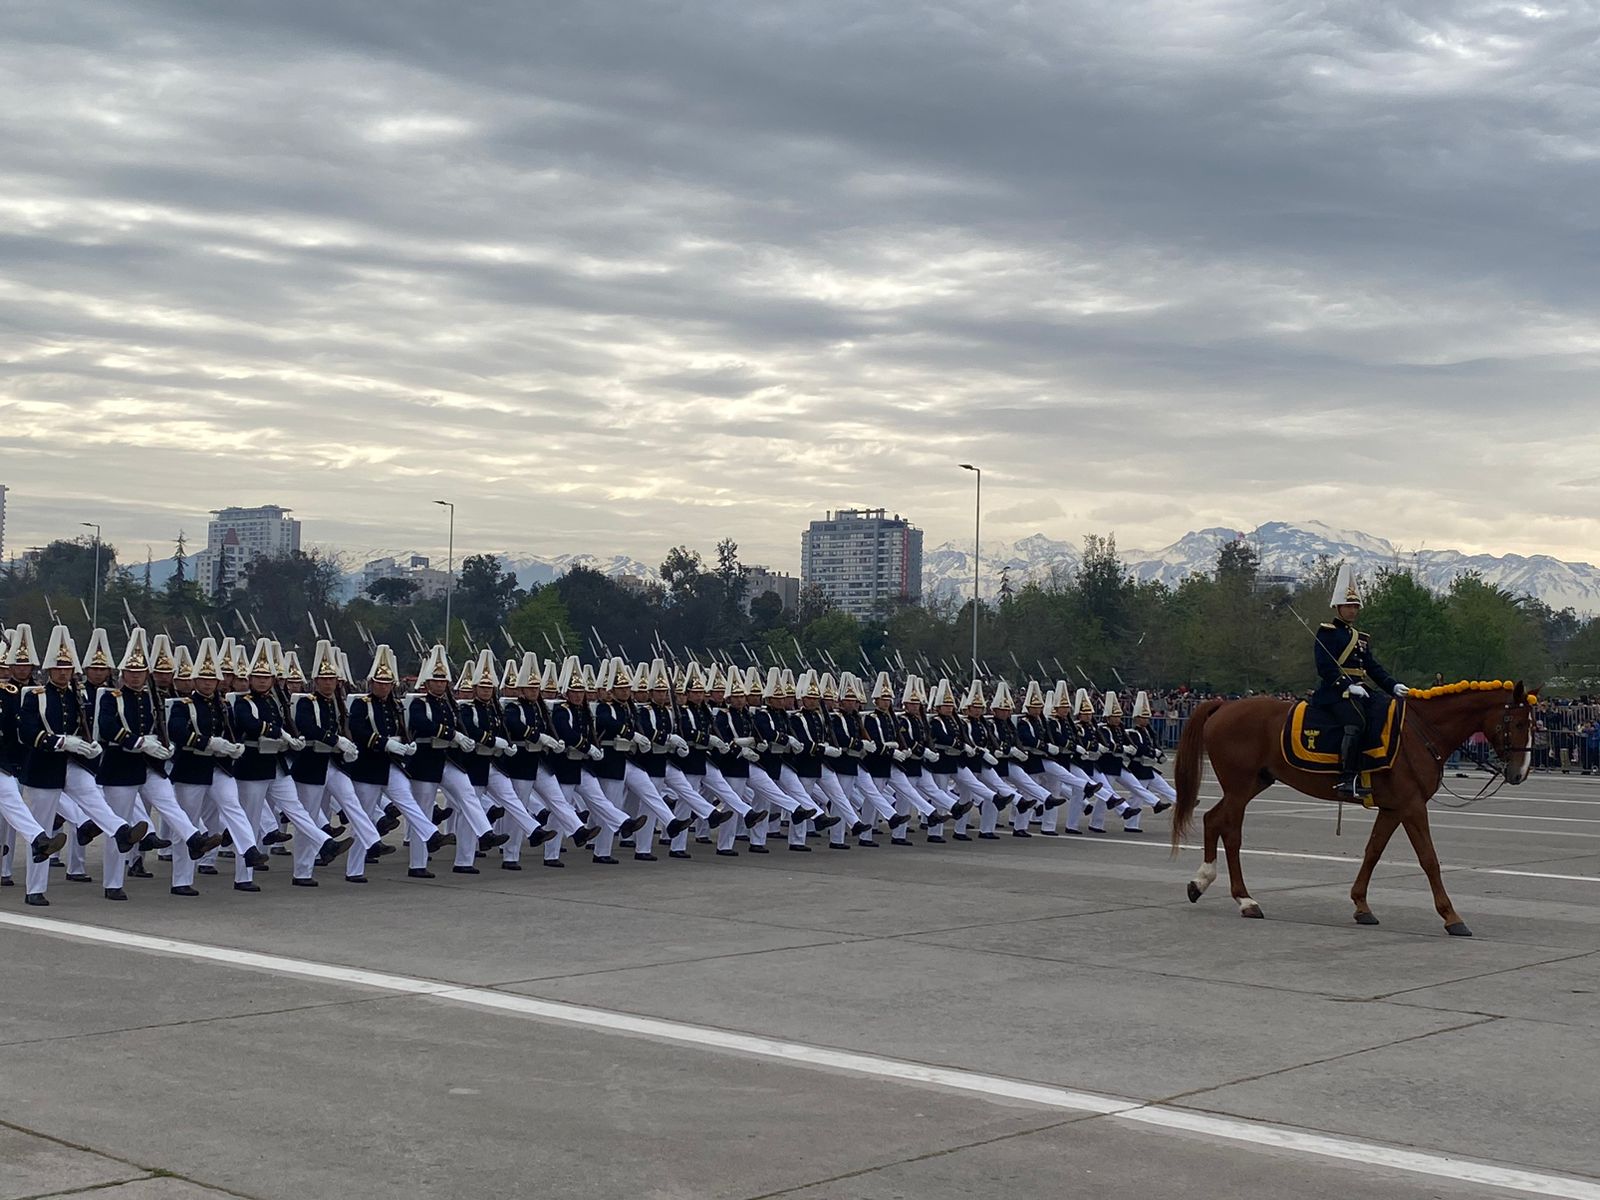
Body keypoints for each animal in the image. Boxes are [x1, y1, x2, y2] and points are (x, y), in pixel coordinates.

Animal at [1177, 684, 1536, 940]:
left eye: (1532, 724)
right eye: (1518, 723)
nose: (1520, 773)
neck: (1421, 732)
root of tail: (1225, 705)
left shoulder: (1394, 807)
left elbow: (1373, 851)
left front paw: (1361, 905)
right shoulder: (1412, 805)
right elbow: (1429, 859)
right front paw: (1451, 916)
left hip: (1253, 783)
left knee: (1213, 819)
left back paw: (1200, 883)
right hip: (1240, 787)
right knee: (1231, 832)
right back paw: (1245, 900)